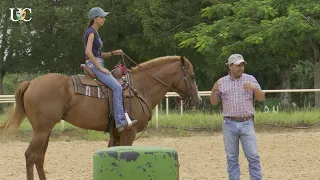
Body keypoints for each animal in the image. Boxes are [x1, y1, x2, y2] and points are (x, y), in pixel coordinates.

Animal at [0, 55, 201, 179]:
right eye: (192, 75)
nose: (197, 100)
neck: (141, 87)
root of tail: (31, 83)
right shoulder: (129, 131)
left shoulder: (116, 133)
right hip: (42, 131)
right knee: (30, 156)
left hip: (45, 131)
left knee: (39, 158)